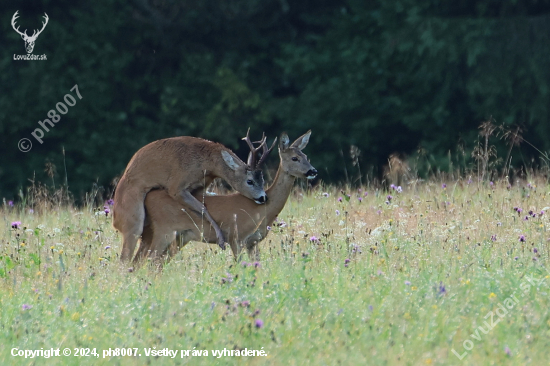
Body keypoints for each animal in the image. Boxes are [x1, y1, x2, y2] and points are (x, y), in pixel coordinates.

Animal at [113, 131, 270, 260]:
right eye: (250, 181)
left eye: (262, 179)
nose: (263, 197)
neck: (205, 163)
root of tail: (115, 221)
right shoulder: (176, 186)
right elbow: (203, 208)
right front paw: (221, 239)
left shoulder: (200, 187)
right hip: (133, 219)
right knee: (125, 258)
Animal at [135, 130, 320, 262]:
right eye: (295, 158)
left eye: (306, 156)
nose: (313, 171)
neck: (262, 211)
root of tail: (148, 196)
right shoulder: (236, 237)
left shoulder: (253, 243)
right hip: (163, 232)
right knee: (147, 262)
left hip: (176, 238)